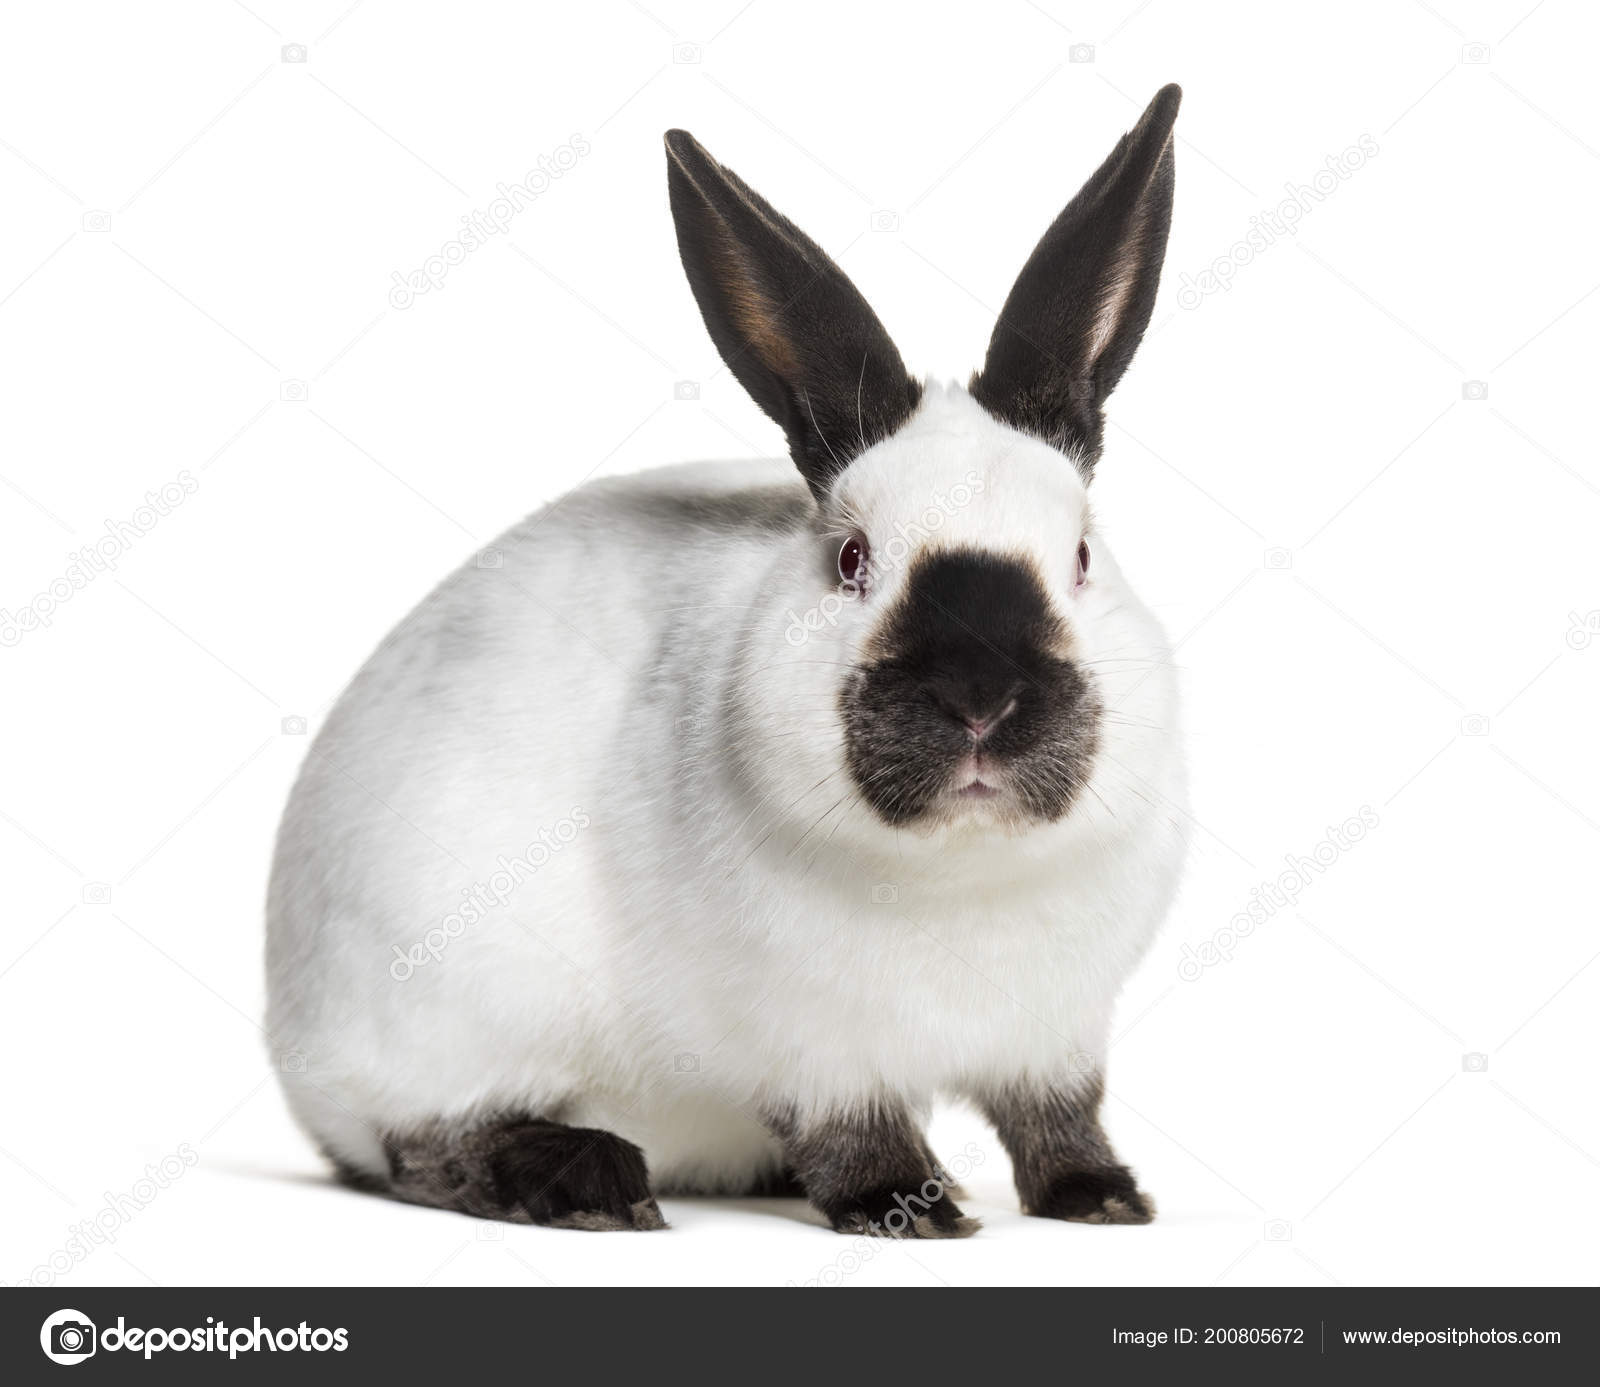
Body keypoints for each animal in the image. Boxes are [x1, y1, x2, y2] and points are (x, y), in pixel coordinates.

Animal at [266, 84, 1188, 1237]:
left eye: (1080, 555)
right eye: (850, 558)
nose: (980, 701)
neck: (961, 870)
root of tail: (292, 1037)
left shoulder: (1056, 1034)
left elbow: (1057, 1118)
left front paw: (1103, 1199)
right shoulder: (810, 1041)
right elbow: (852, 1129)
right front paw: (911, 1207)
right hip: (439, 1001)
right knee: (416, 1145)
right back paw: (588, 1183)